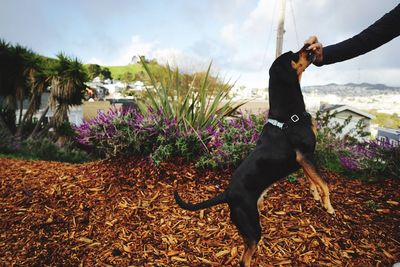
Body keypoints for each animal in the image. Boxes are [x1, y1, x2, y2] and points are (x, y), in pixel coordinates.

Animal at [175, 45, 334, 266]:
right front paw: (329, 206)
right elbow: (325, 183)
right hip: (251, 226)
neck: (289, 116)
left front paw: (316, 195)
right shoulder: (305, 156)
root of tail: (228, 194)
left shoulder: (305, 160)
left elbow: (314, 180)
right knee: (244, 259)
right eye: (294, 55)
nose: (311, 48)